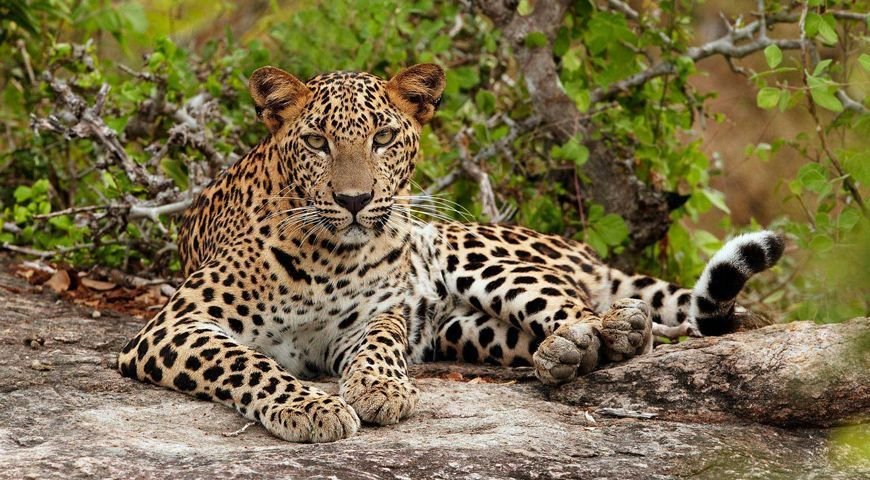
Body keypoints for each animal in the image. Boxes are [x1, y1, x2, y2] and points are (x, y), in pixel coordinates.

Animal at [118, 63, 785, 443]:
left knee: (587, 308)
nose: (356, 200)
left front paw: (378, 390)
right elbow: (247, 362)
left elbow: (380, 344)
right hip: (464, 330)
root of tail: (578, 247)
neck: (329, 255)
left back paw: (604, 332)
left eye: (383, 137)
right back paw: (564, 354)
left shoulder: (370, 317)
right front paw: (310, 406)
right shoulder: (173, 326)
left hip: (474, 254)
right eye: (317, 141)